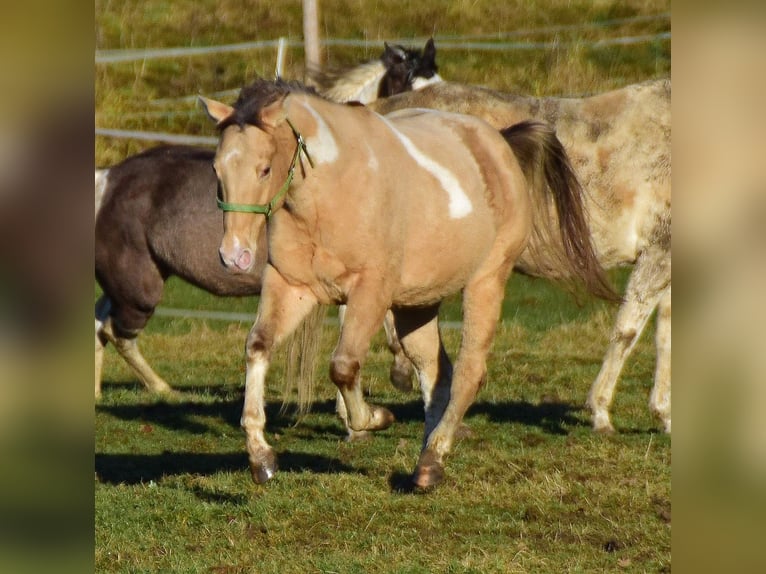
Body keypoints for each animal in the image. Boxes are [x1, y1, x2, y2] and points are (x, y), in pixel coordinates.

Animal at [201, 79, 616, 488]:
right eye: (217, 169)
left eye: (264, 169)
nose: (234, 255)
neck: (329, 191)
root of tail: (499, 144)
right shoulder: (292, 286)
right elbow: (258, 346)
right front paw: (261, 457)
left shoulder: (371, 292)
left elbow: (343, 367)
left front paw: (376, 419)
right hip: (416, 304)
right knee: (436, 371)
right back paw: (428, 457)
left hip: (485, 281)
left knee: (468, 373)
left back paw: (432, 460)